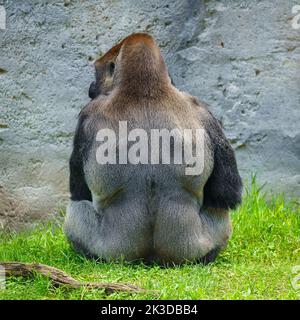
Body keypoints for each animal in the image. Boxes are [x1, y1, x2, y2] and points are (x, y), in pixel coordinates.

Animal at [64, 32, 243, 264]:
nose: (91, 87)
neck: (145, 87)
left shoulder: (87, 114)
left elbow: (226, 194)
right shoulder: (205, 112)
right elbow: (226, 192)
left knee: (76, 209)